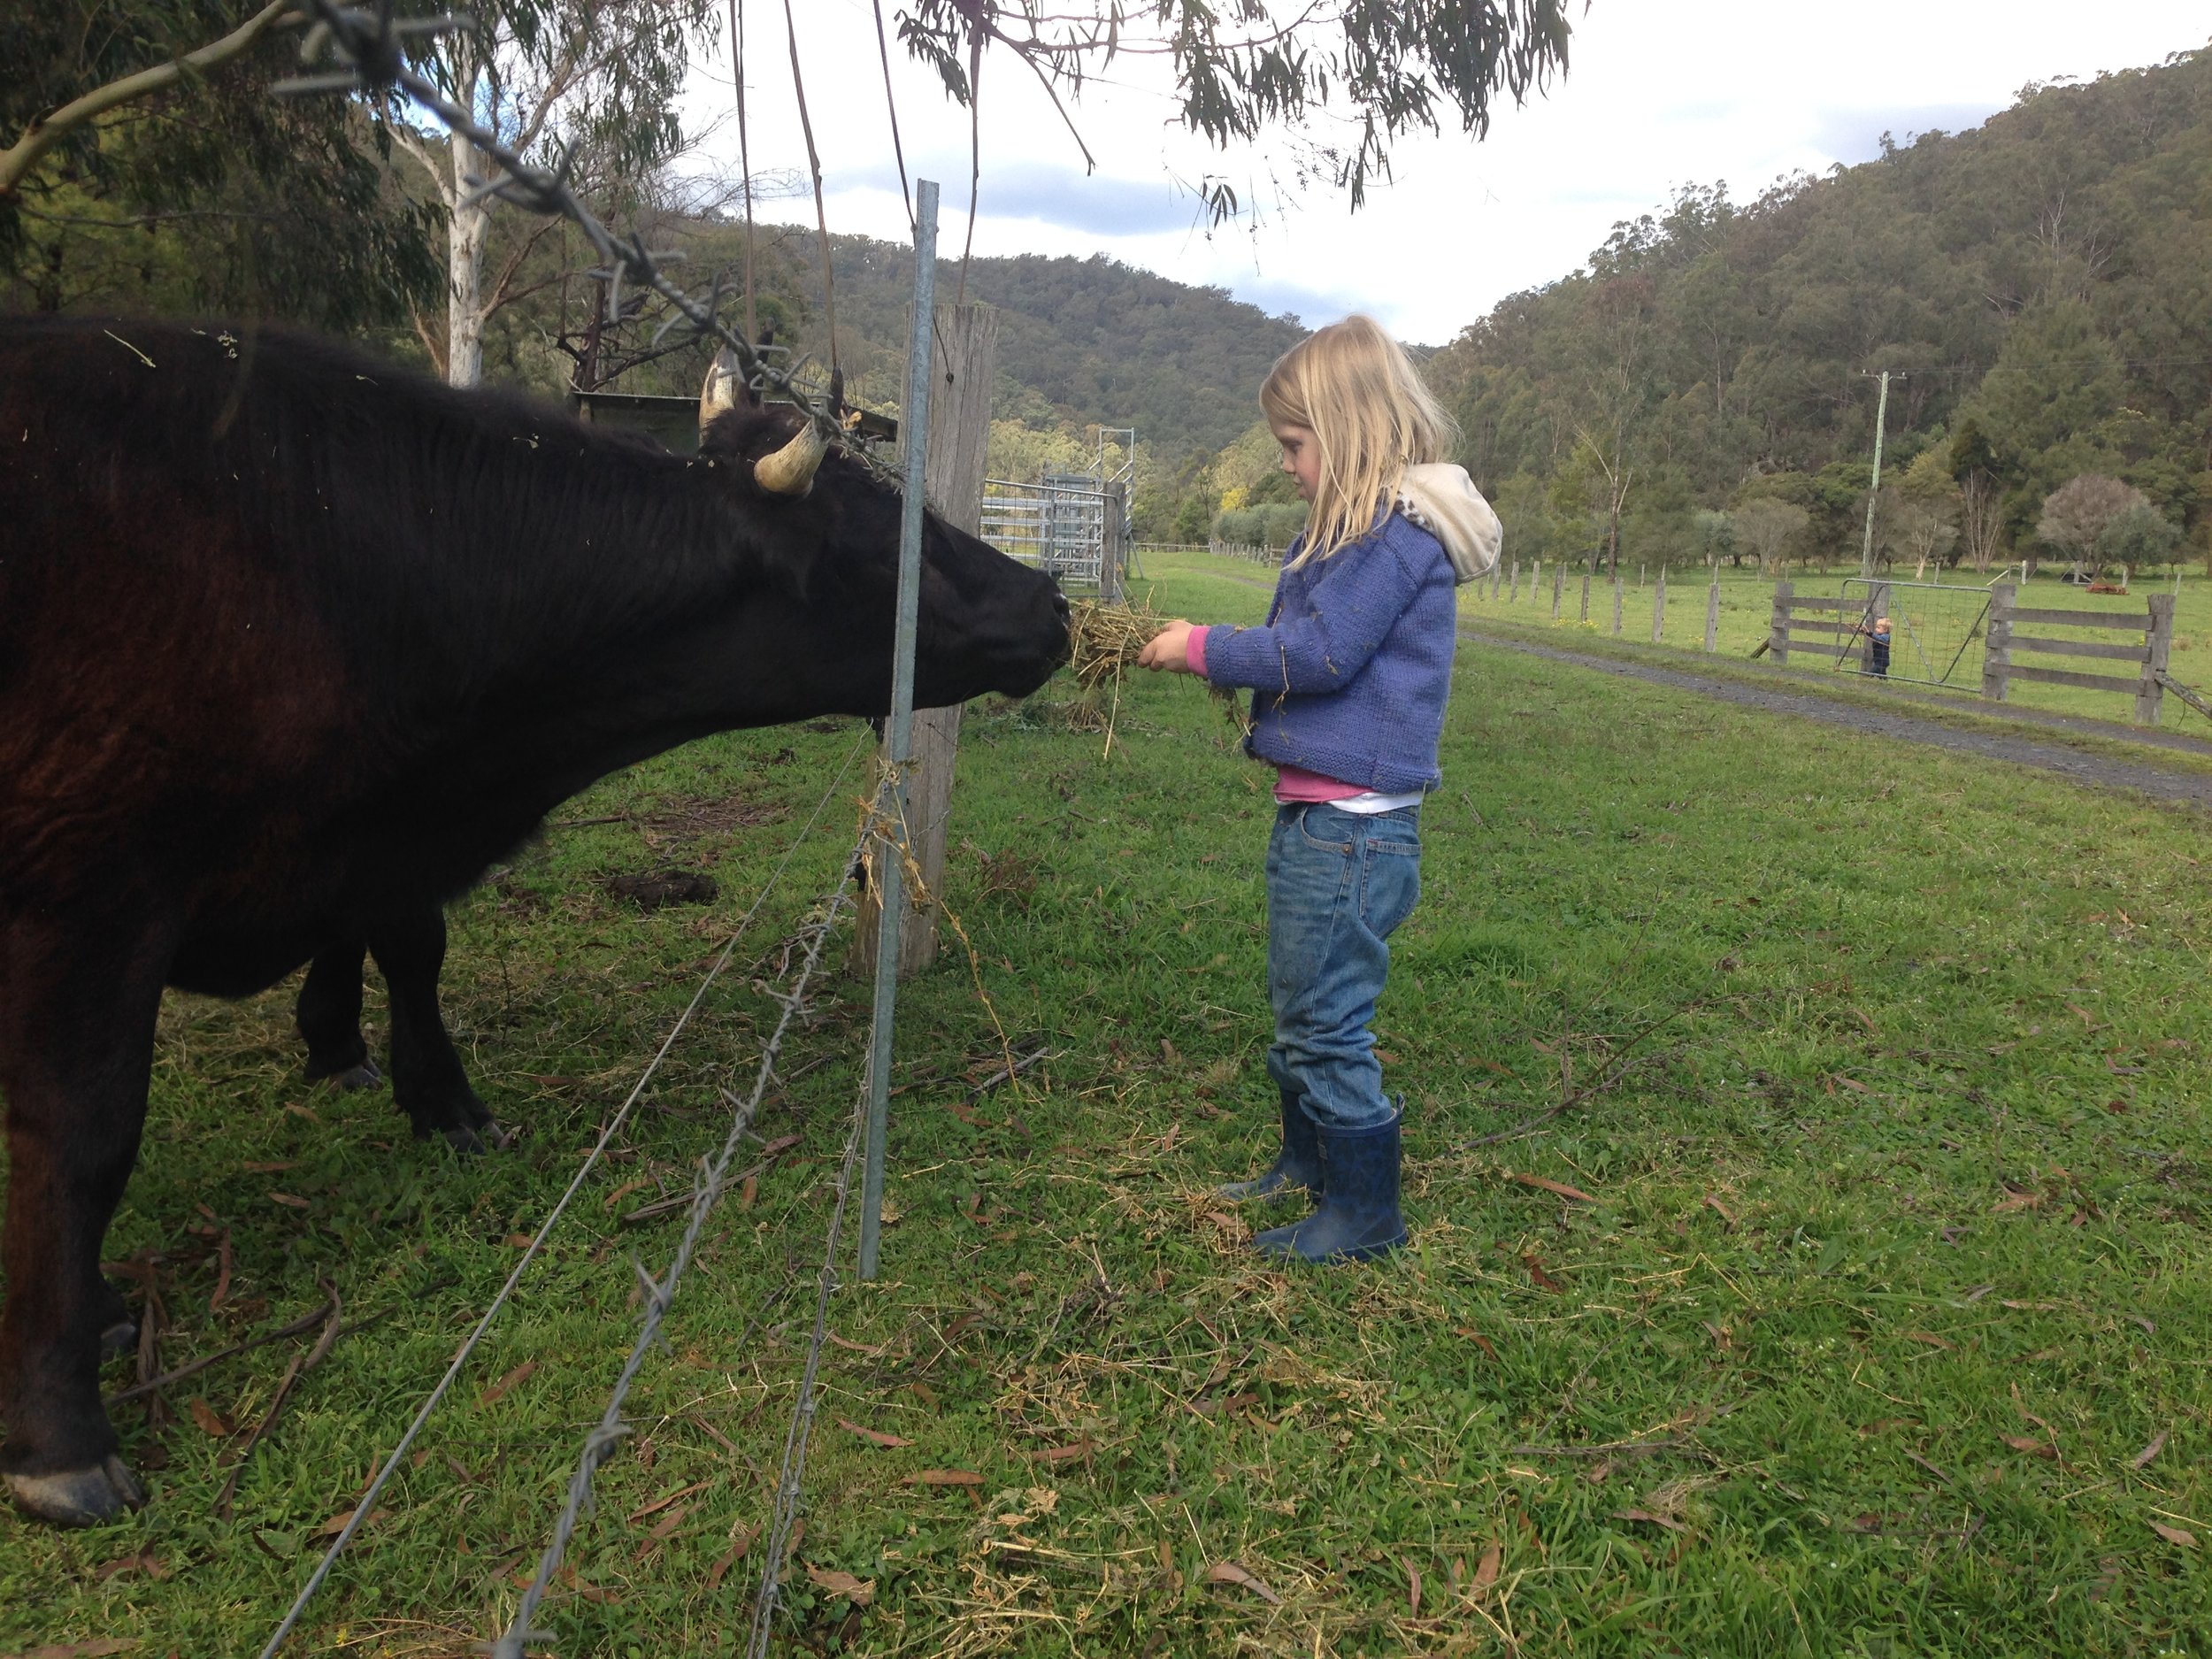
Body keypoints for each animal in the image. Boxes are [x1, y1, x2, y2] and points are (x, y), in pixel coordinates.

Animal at [0, 319, 1071, 1531]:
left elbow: (412, 949)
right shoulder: (90, 887)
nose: (1051, 603)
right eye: (891, 548)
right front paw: (61, 1425)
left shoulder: (395, 823)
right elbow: (83, 1134)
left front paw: (437, 1097)